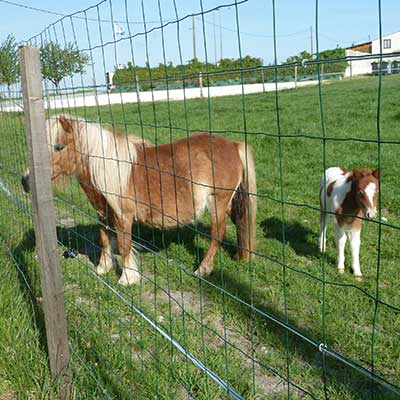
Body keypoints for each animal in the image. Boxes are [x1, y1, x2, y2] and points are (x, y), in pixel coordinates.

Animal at [21, 114, 256, 286]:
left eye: (59, 147)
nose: (26, 181)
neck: (108, 166)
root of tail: (234, 144)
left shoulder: (123, 216)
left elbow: (124, 245)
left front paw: (127, 278)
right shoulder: (103, 213)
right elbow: (104, 238)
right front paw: (102, 268)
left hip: (218, 202)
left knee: (218, 233)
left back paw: (203, 269)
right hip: (228, 203)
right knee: (239, 222)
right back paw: (241, 255)